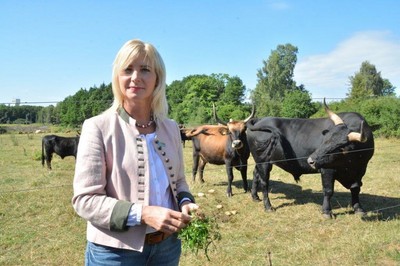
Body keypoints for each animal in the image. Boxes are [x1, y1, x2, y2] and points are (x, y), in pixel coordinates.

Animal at [247, 98, 376, 217]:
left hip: (260, 161)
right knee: (264, 182)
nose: (311, 160)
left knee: (256, 174)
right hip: (263, 162)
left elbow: (355, 188)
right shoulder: (327, 169)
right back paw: (268, 206)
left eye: (340, 148)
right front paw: (327, 212)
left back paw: (255, 197)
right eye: (325, 139)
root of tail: (259, 120)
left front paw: (359, 209)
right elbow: (328, 190)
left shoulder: (360, 170)